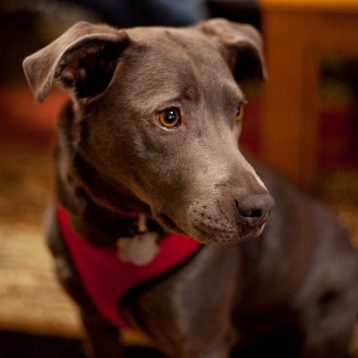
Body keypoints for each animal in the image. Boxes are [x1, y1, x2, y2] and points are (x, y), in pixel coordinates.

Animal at [23, 19, 358, 358]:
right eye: (169, 117)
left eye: (237, 110)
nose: (261, 208)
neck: (117, 226)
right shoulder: (94, 322)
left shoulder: (202, 339)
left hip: (323, 327)